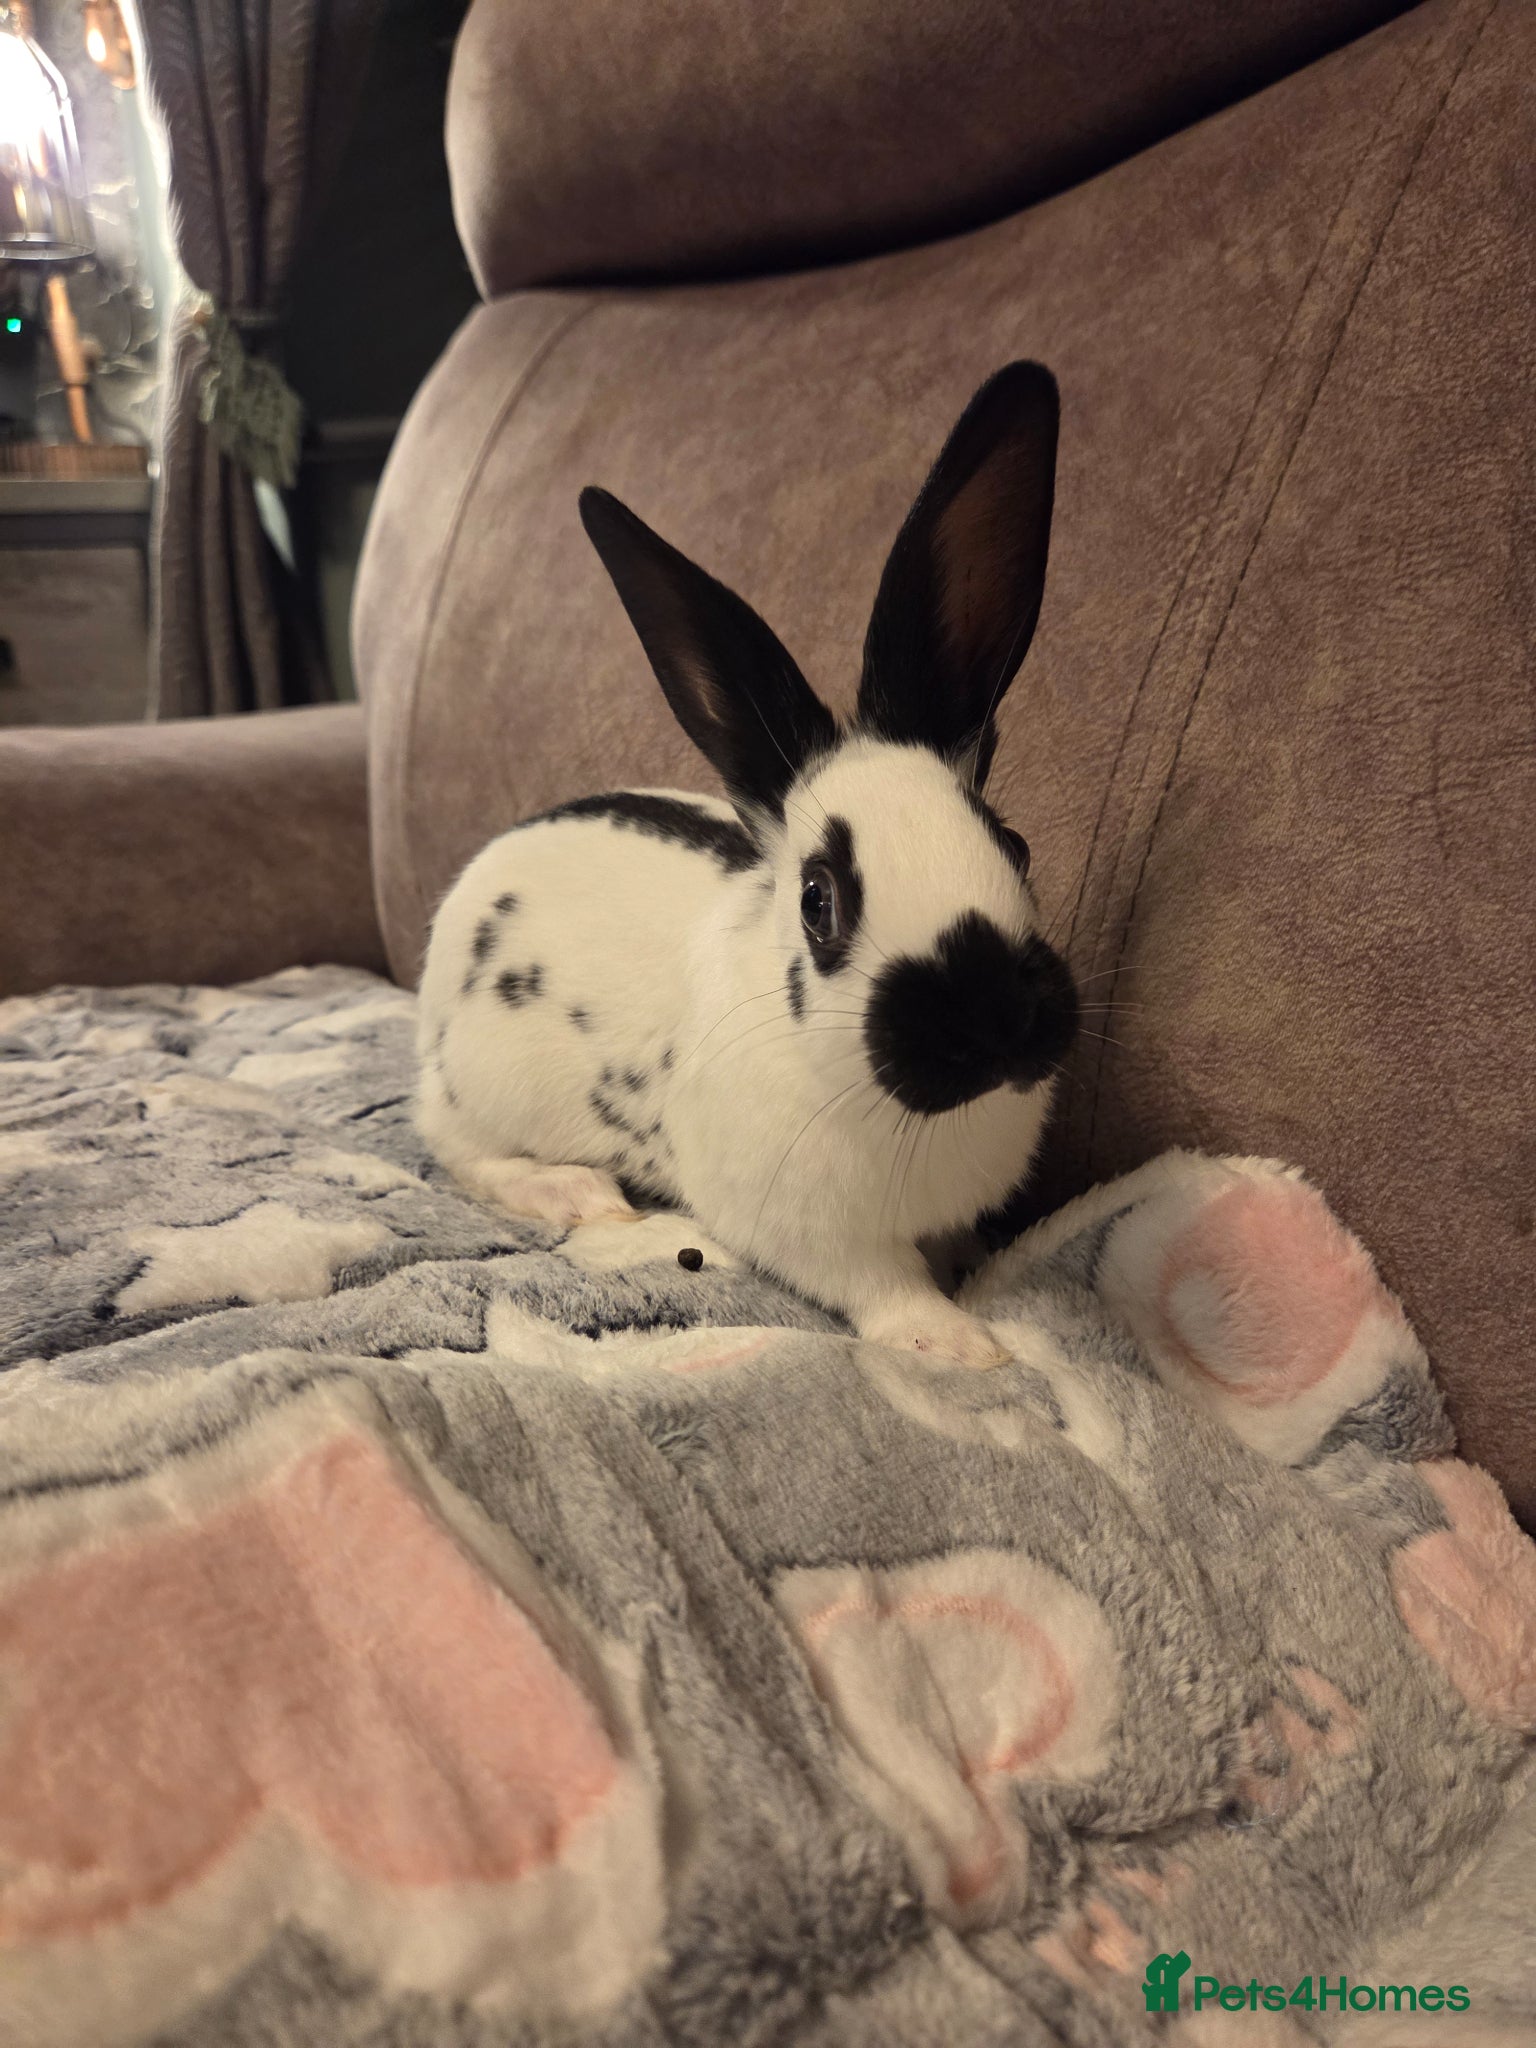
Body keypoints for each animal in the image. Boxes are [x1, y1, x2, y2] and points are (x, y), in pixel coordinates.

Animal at [416, 361, 1078, 1369]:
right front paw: (963, 1344)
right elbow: (884, 1286)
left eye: (1015, 844)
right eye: (818, 899)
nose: (998, 1017)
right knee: (459, 1148)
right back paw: (579, 1194)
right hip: (481, 1091)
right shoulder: (818, 1237)